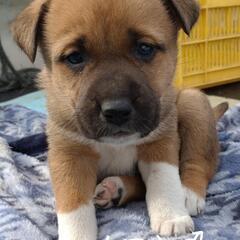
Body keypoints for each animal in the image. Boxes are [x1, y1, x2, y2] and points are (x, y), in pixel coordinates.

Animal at [10, 0, 227, 239]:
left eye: (145, 48)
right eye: (74, 58)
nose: (116, 111)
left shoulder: (159, 139)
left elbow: (163, 179)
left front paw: (171, 216)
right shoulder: (69, 155)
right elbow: (74, 205)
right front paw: (77, 234)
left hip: (193, 103)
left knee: (199, 161)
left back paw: (188, 193)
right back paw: (114, 189)